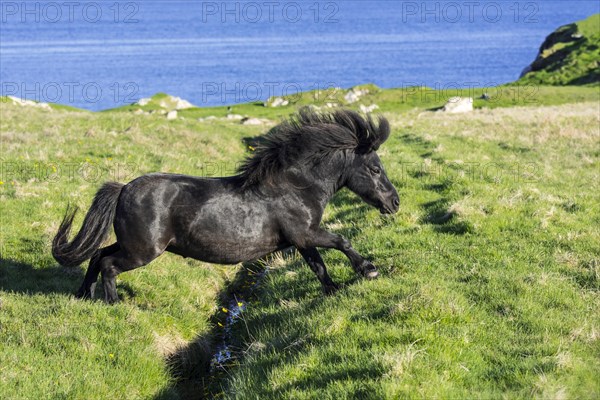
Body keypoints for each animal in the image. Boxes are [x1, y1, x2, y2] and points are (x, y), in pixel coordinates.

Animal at [51, 108, 398, 302]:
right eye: (375, 169)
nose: (394, 203)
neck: (295, 187)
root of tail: (123, 188)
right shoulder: (306, 233)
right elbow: (341, 241)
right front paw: (369, 270)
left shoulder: (301, 240)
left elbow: (318, 265)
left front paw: (333, 291)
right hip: (142, 251)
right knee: (108, 265)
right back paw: (113, 303)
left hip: (132, 244)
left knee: (97, 255)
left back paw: (84, 295)